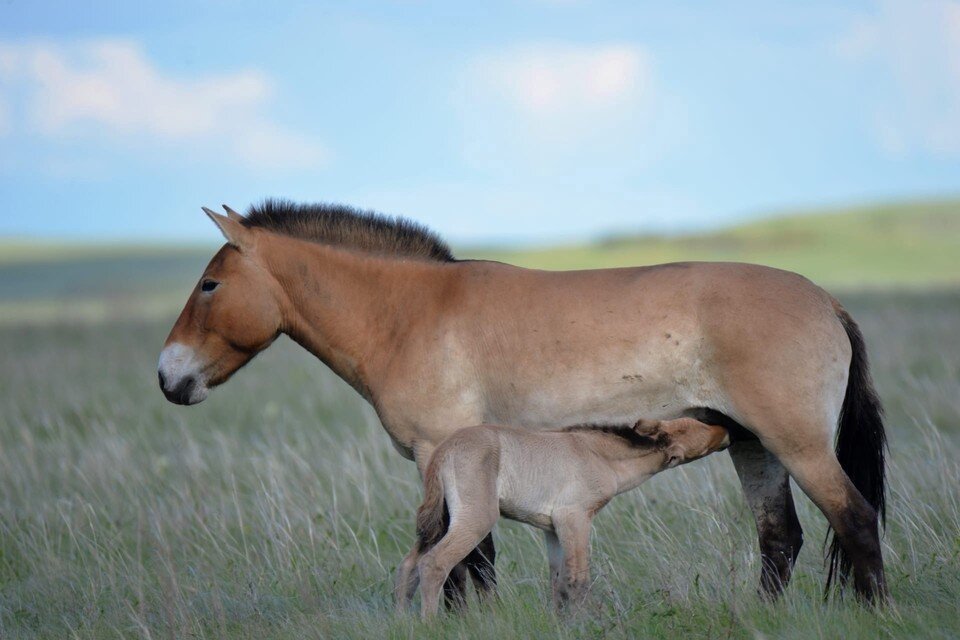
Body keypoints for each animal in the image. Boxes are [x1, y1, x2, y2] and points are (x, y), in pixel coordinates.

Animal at [394, 418, 732, 616]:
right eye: (695, 427)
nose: (726, 430)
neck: (598, 454)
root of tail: (444, 450)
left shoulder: (552, 529)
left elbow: (558, 582)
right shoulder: (575, 518)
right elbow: (578, 579)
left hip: (440, 522)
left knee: (409, 564)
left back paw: (404, 622)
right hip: (475, 520)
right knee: (434, 564)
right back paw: (429, 625)